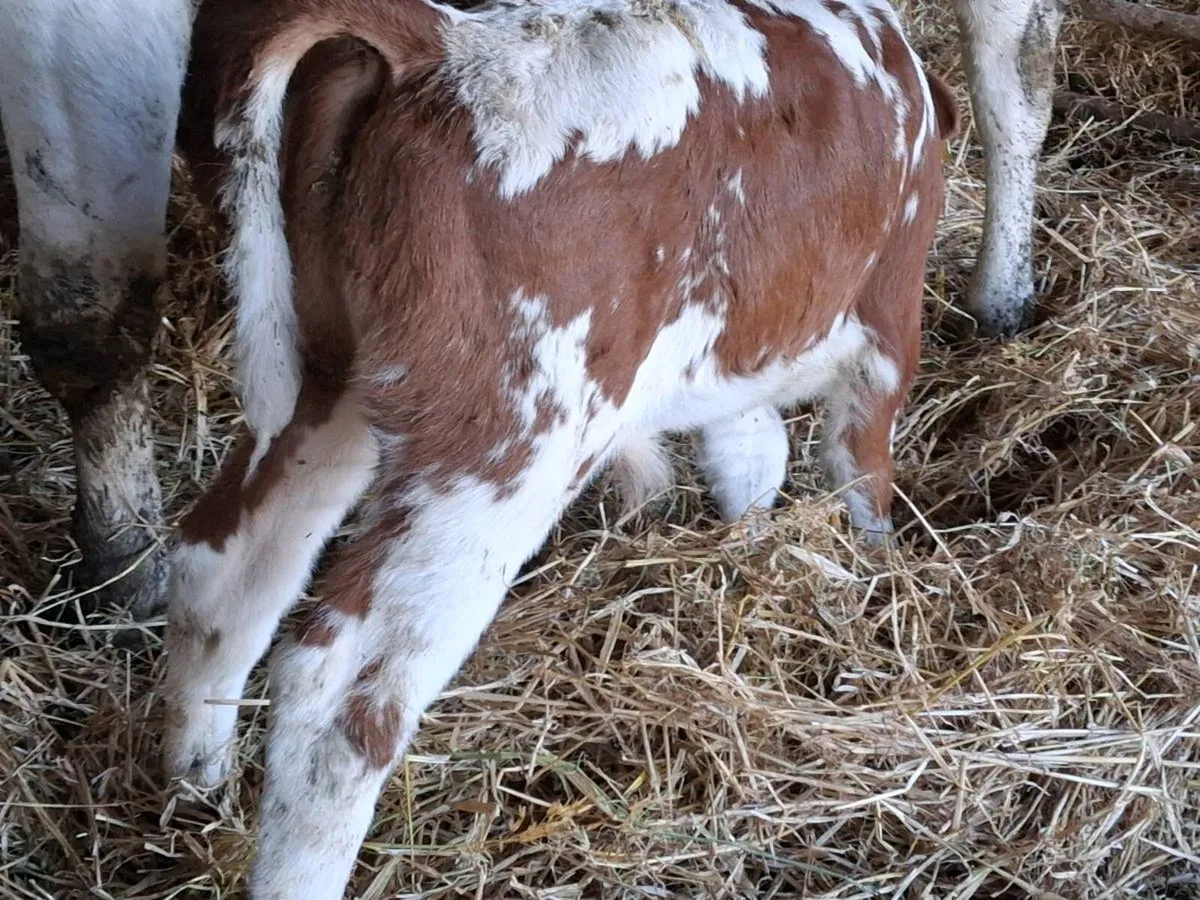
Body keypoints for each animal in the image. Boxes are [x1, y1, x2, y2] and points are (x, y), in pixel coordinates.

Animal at [152, 0, 960, 895]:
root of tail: (438, 45)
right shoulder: (888, 324)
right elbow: (859, 469)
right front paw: (876, 578)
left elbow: (749, 451)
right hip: (505, 449)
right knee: (342, 703)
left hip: (330, 383)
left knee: (222, 566)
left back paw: (194, 782)